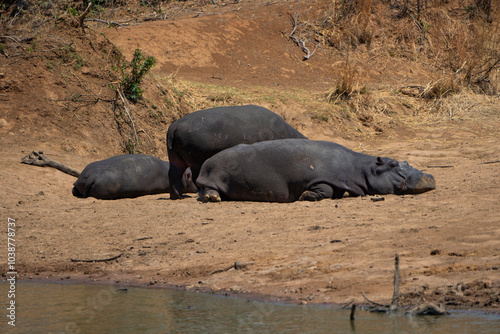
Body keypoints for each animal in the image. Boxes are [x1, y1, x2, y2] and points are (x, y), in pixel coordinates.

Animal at [168, 104, 306, 198]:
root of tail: (174, 126)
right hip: (195, 161)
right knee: (195, 177)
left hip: (175, 159)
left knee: (173, 174)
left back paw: (178, 197)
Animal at [197, 139, 436, 204]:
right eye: (393, 164)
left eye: (405, 160)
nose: (428, 176)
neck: (361, 169)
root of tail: (203, 165)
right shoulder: (319, 176)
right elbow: (325, 189)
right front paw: (305, 195)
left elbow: (335, 191)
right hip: (212, 177)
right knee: (208, 190)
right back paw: (213, 198)